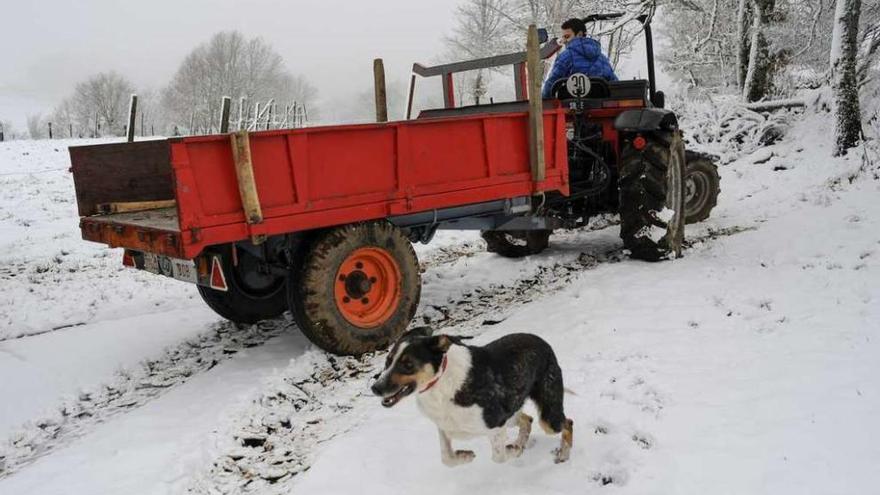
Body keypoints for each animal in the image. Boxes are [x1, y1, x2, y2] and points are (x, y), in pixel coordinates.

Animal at [370, 328, 572, 466]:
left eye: (408, 364)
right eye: (388, 361)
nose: (375, 388)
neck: (441, 384)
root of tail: (541, 341)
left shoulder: (495, 425)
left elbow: (498, 456)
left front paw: (513, 451)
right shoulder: (444, 426)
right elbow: (446, 458)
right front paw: (465, 456)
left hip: (547, 418)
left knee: (567, 423)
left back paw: (562, 454)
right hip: (510, 413)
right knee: (527, 419)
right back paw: (521, 442)